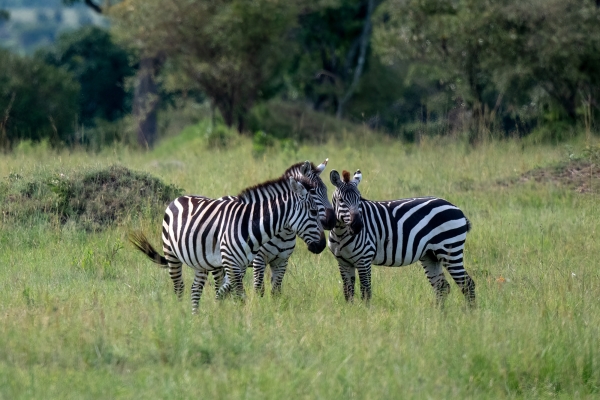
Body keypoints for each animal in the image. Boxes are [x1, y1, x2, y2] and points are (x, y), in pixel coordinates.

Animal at [129, 162, 326, 312]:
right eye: (313, 211)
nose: (322, 246)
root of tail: (180, 198)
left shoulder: (269, 262)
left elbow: (260, 292)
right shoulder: (245, 262)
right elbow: (245, 293)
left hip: (202, 262)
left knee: (195, 290)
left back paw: (195, 318)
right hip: (173, 255)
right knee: (179, 287)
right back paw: (182, 317)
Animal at [247, 158, 336, 296]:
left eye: (326, 190)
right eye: (312, 191)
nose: (332, 220)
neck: (283, 234)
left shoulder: (282, 261)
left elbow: (276, 291)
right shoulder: (258, 260)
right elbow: (258, 290)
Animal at [326, 167, 476, 304]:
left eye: (359, 199)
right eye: (341, 200)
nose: (357, 226)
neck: (340, 233)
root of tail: (455, 207)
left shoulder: (364, 259)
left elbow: (366, 292)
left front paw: (365, 314)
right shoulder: (343, 262)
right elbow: (348, 293)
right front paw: (351, 311)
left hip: (449, 250)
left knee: (467, 284)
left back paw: (470, 314)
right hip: (430, 255)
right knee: (442, 286)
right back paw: (439, 315)